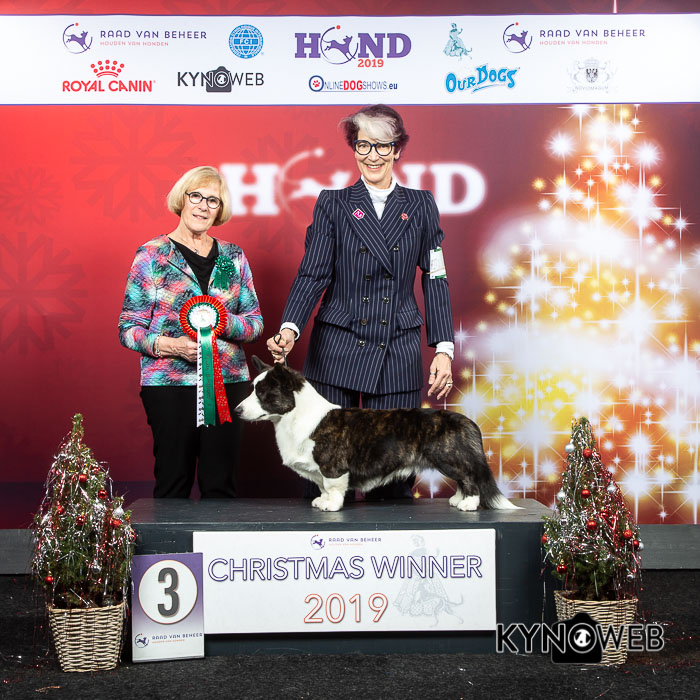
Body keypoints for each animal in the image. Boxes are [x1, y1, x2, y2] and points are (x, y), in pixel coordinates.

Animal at [236, 357, 520, 512]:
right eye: (253, 389)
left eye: (263, 394)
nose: (237, 410)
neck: (295, 416)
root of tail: (467, 421)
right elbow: (322, 487)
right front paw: (321, 501)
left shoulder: (333, 467)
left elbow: (333, 487)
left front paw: (330, 505)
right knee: (464, 479)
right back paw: (457, 500)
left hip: (449, 458)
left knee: (469, 478)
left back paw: (468, 504)